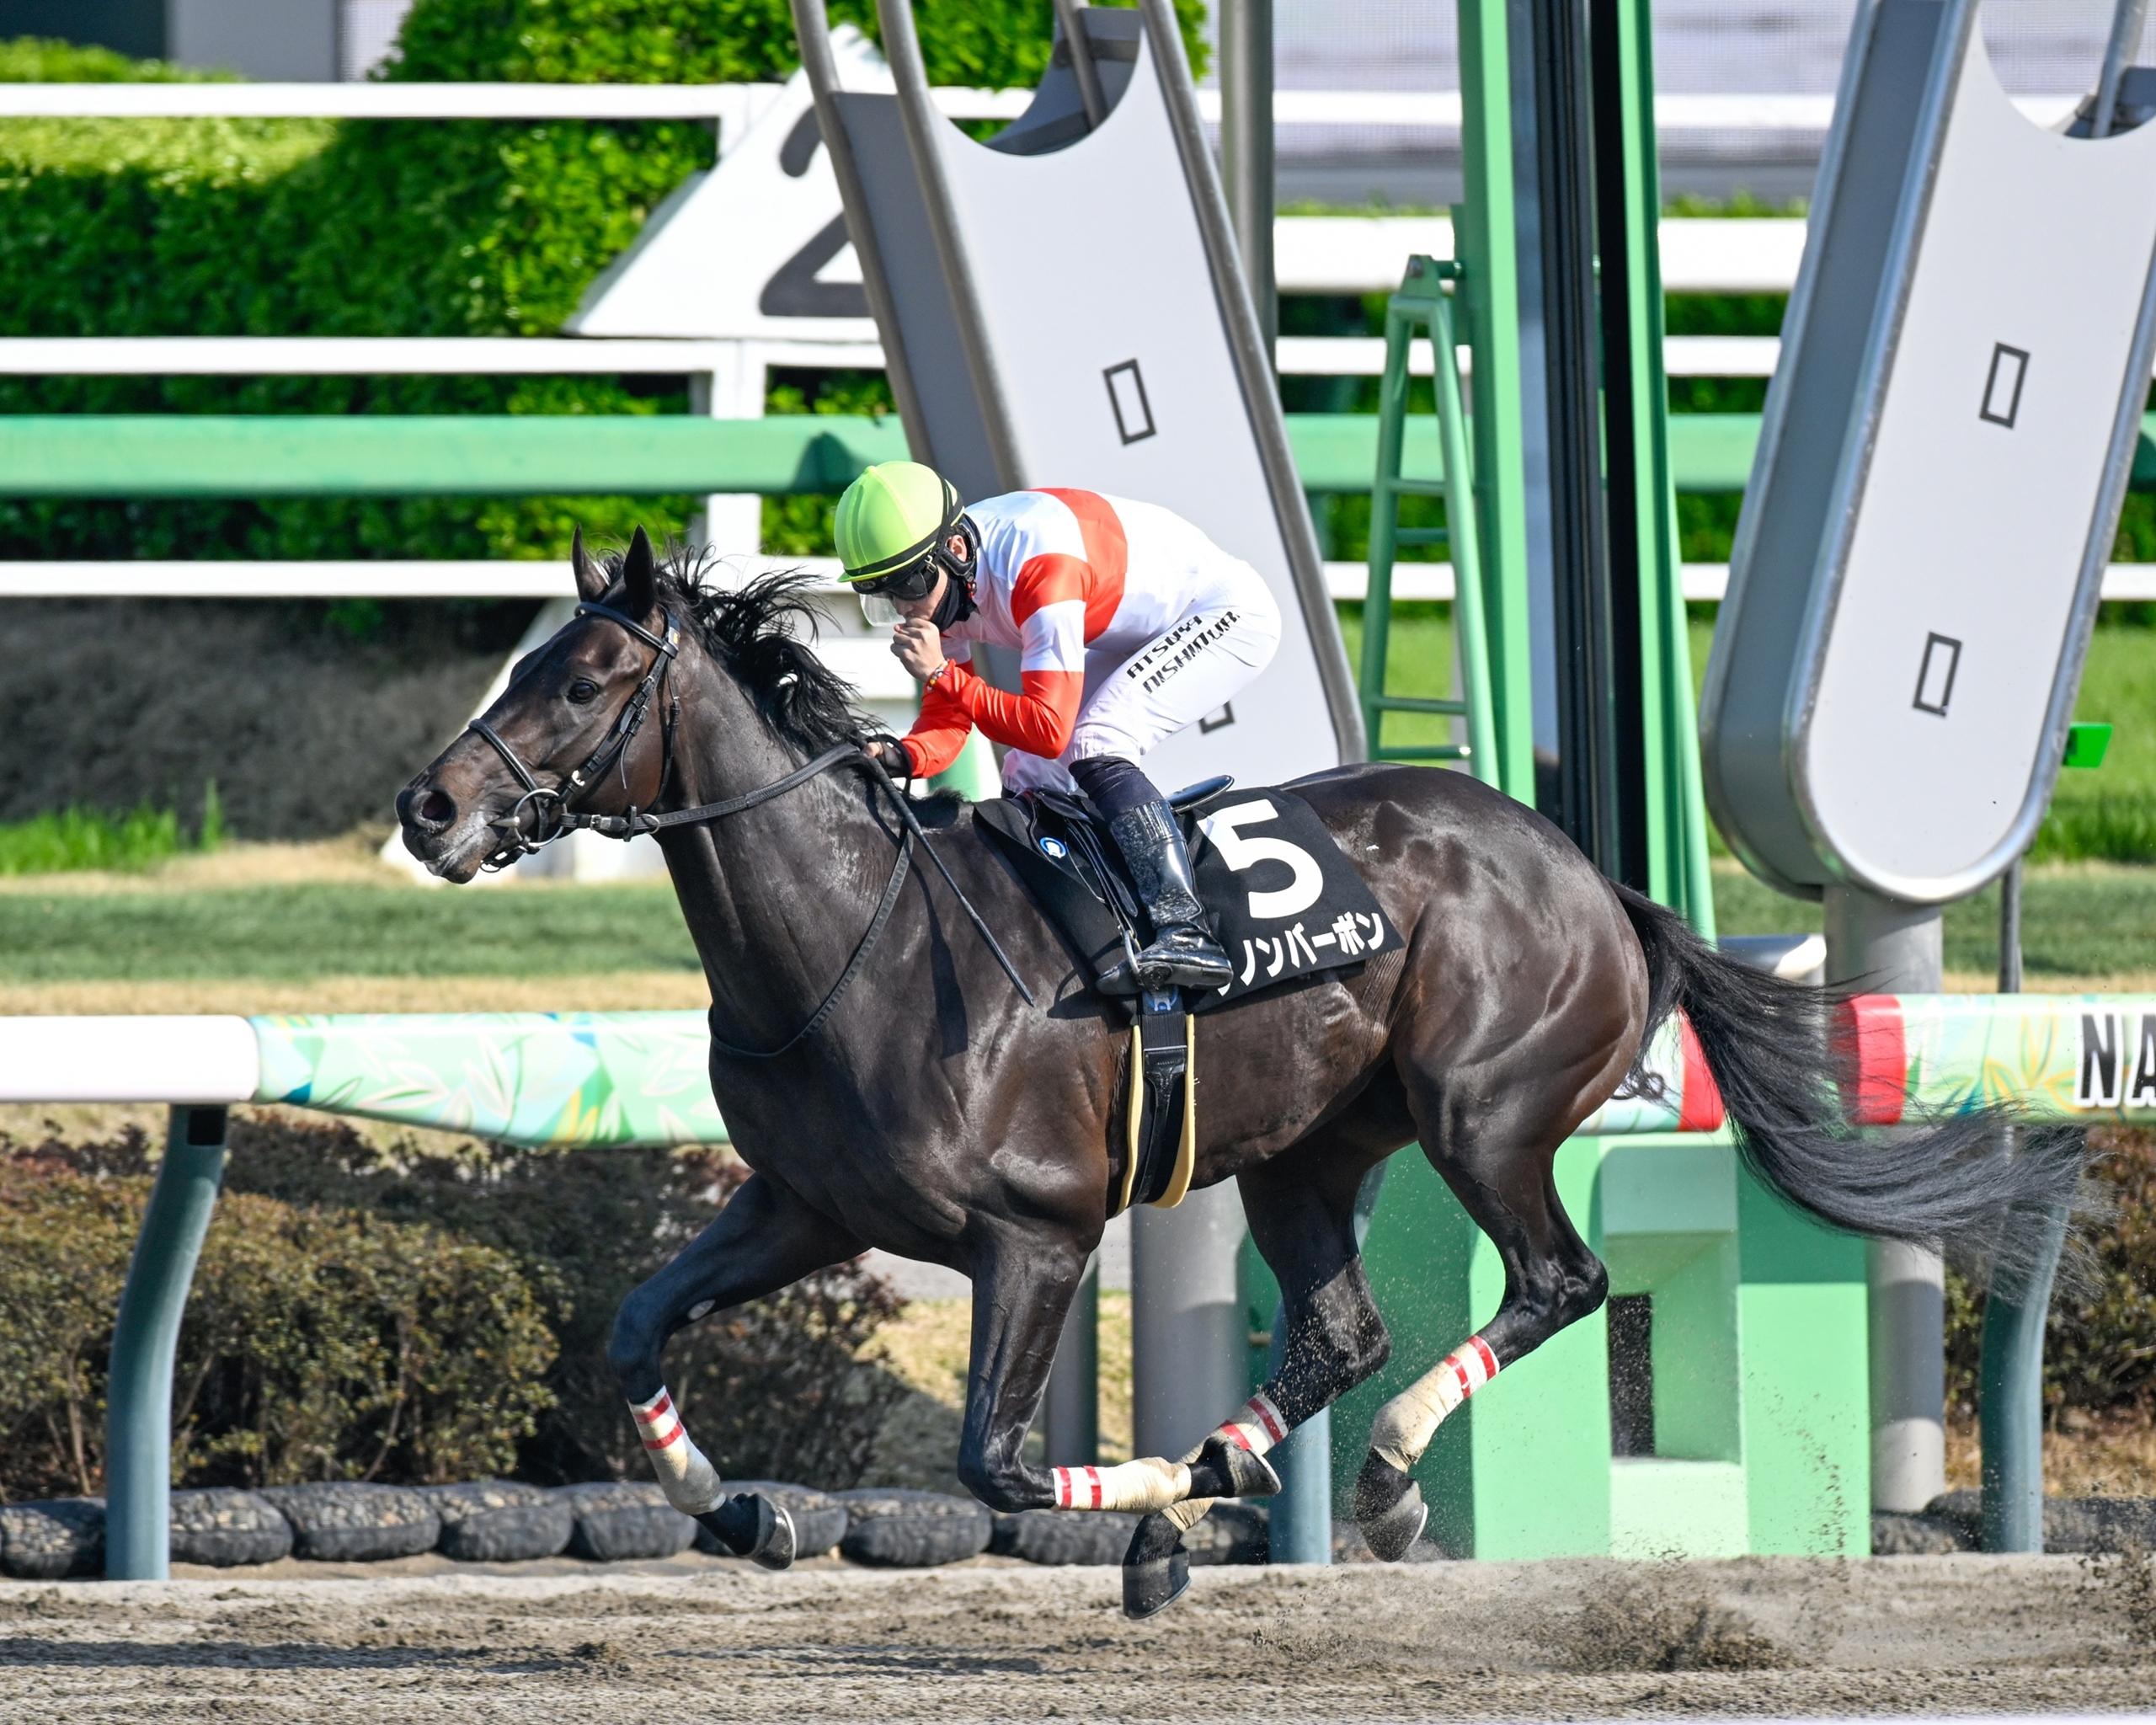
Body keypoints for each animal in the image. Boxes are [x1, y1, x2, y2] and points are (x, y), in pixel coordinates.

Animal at [396, 527, 2082, 1612]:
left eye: (585, 678)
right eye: (525, 660)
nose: (429, 807)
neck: (850, 945)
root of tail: (1597, 877)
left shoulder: (1038, 1233)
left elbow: (998, 1466)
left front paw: (1149, 1522)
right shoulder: (804, 1206)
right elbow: (633, 1327)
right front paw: (747, 1511)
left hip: (1486, 1112)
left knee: (1559, 1279)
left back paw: (1377, 1477)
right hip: (1305, 1152)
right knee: (1340, 1329)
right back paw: (1250, 1460)